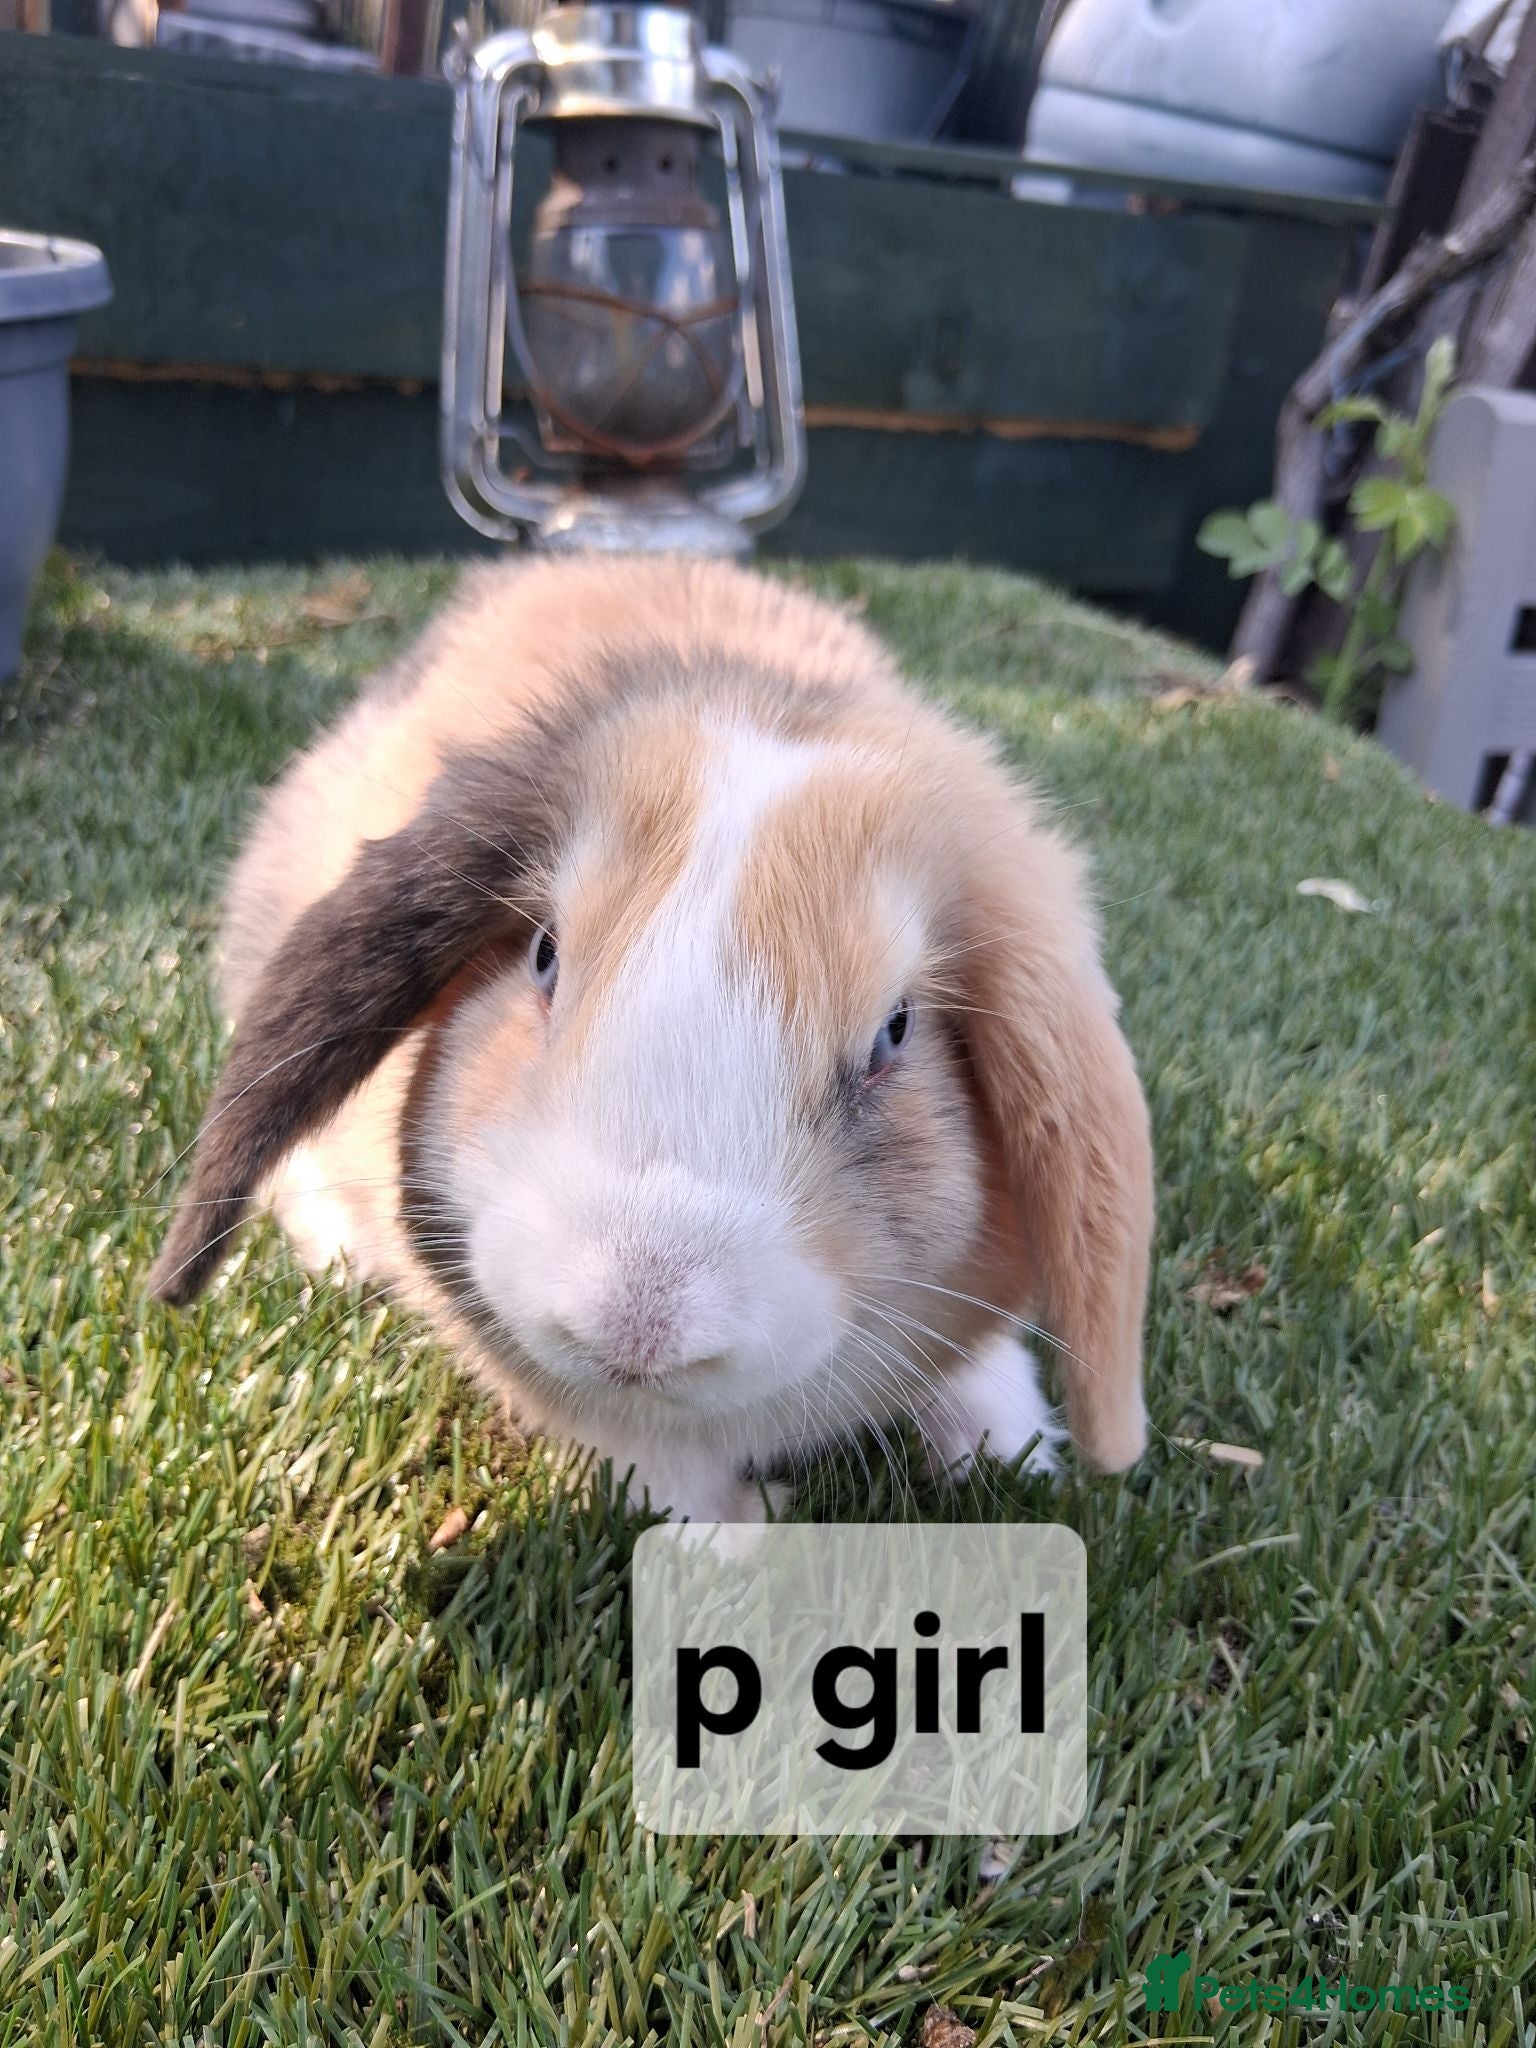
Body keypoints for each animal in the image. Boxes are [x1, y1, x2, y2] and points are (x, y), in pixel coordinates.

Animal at [150, 555, 1155, 1523]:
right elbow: (656, 1470)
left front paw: (1011, 1453)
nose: (632, 1325)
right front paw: (744, 1535)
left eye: (896, 1032)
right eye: (544, 954)